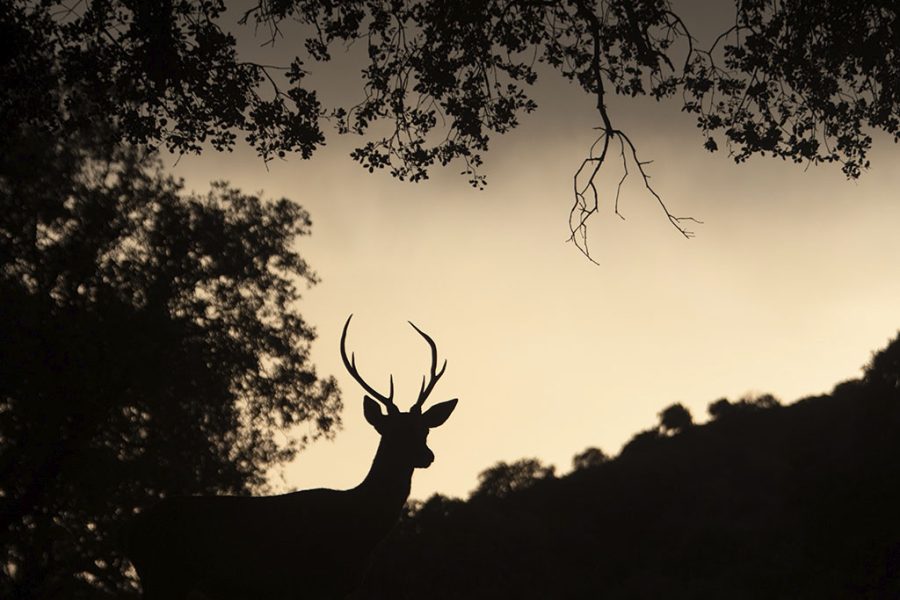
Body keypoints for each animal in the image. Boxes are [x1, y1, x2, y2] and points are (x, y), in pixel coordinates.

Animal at [125, 315, 458, 599]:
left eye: (424, 430)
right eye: (392, 432)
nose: (427, 456)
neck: (358, 530)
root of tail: (132, 530)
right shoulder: (310, 583)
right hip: (164, 574)